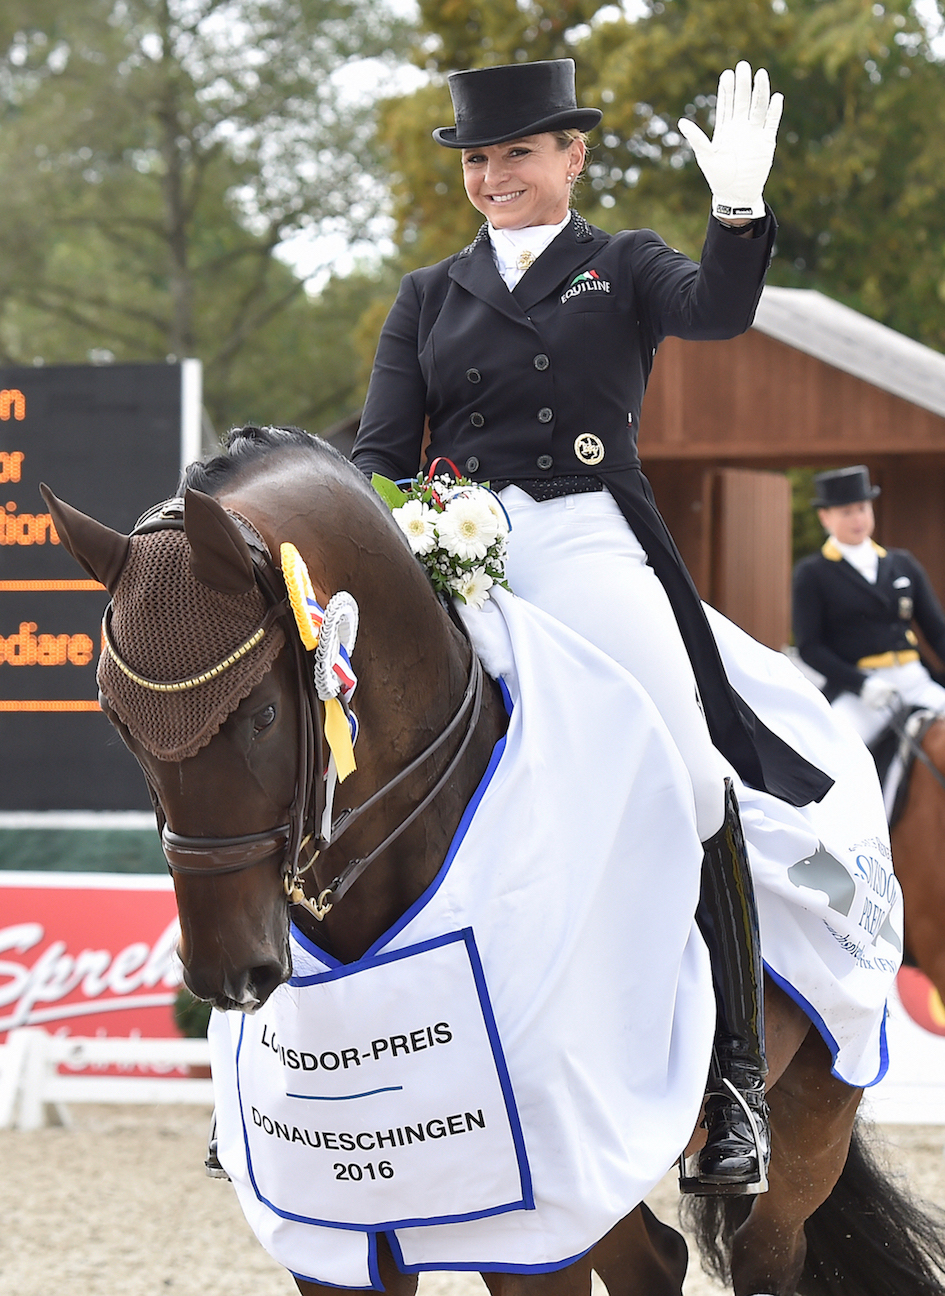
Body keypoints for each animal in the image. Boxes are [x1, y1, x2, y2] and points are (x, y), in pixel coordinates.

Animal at [42, 430, 943, 1296]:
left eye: (261, 715)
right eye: (116, 719)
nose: (229, 974)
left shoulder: (532, 1227)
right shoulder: (333, 1231)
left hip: (811, 1114)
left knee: (766, 1250)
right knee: (654, 1260)